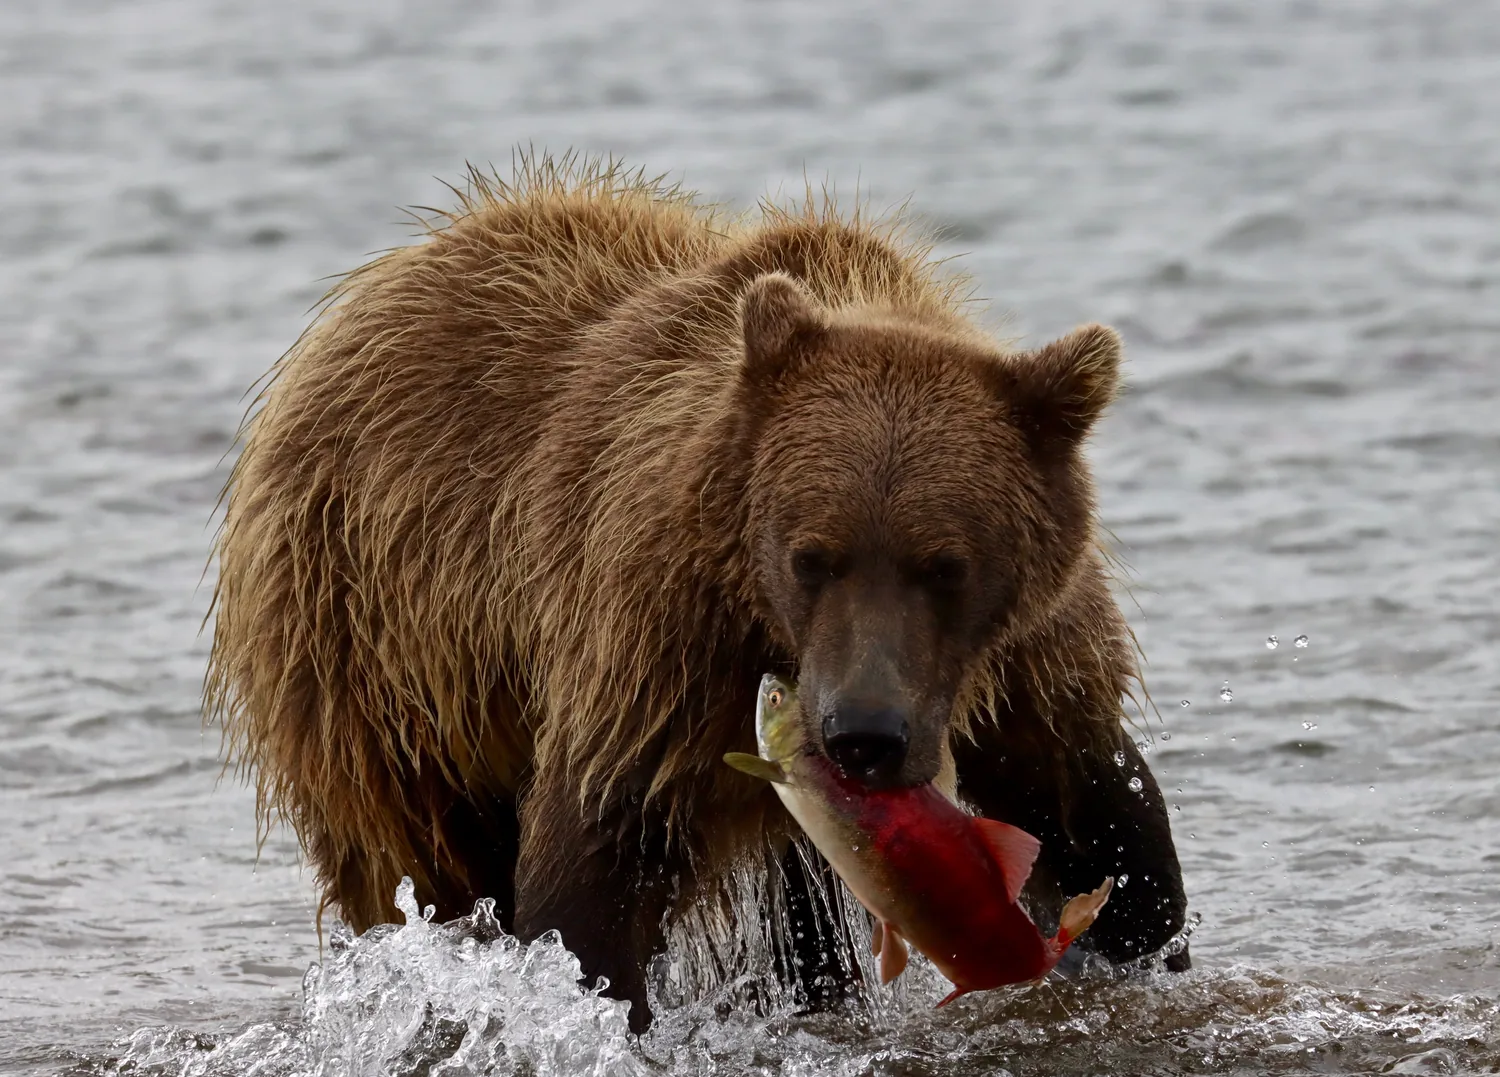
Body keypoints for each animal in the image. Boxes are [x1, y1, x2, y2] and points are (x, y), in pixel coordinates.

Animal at [208, 156, 1188, 1032]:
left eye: (945, 564)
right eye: (811, 556)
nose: (864, 735)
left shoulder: (1026, 658)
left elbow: (1093, 804)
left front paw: (1136, 929)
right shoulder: (658, 640)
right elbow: (595, 859)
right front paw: (589, 1003)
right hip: (380, 654)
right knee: (424, 863)